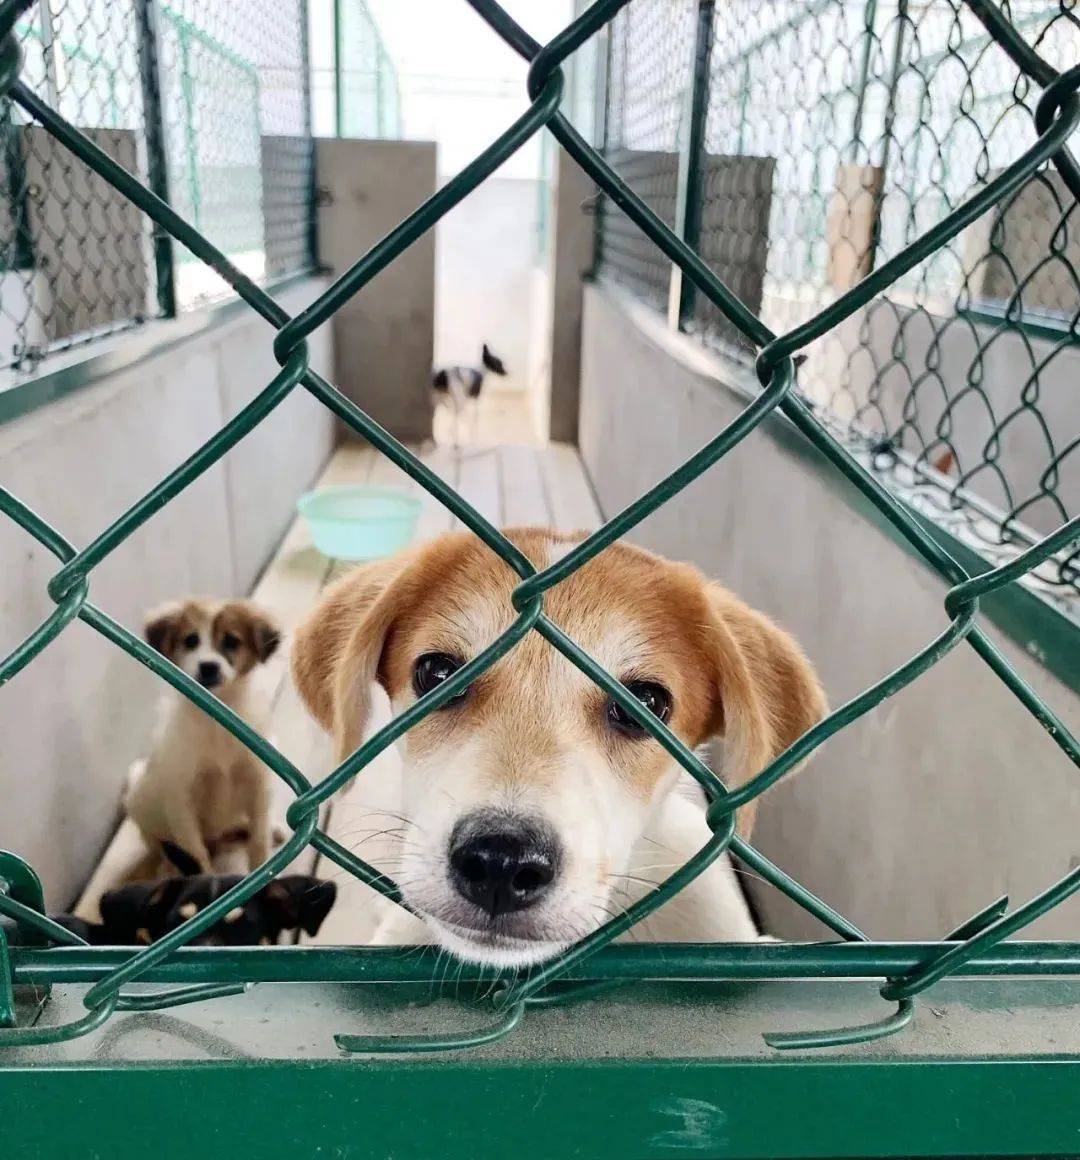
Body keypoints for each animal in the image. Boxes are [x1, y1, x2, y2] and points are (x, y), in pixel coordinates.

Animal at [124, 593, 283, 872]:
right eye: (190, 640)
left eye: (231, 641)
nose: (208, 667)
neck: (216, 722)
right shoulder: (181, 798)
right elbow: (195, 853)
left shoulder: (259, 782)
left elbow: (258, 843)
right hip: (139, 798)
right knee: (158, 844)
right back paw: (168, 866)